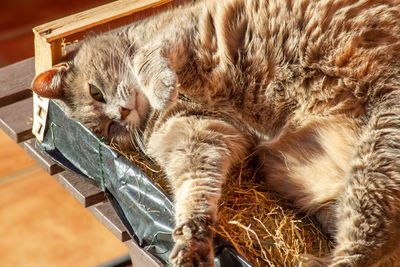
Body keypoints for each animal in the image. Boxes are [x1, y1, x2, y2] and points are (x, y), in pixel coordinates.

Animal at [30, 0, 400, 266]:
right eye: (108, 130)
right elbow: (195, 188)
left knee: (364, 249)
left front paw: (160, 87)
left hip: (379, 159)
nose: (119, 115)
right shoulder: (198, 132)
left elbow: (145, 60)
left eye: (95, 92)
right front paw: (191, 240)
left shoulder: (178, 32)